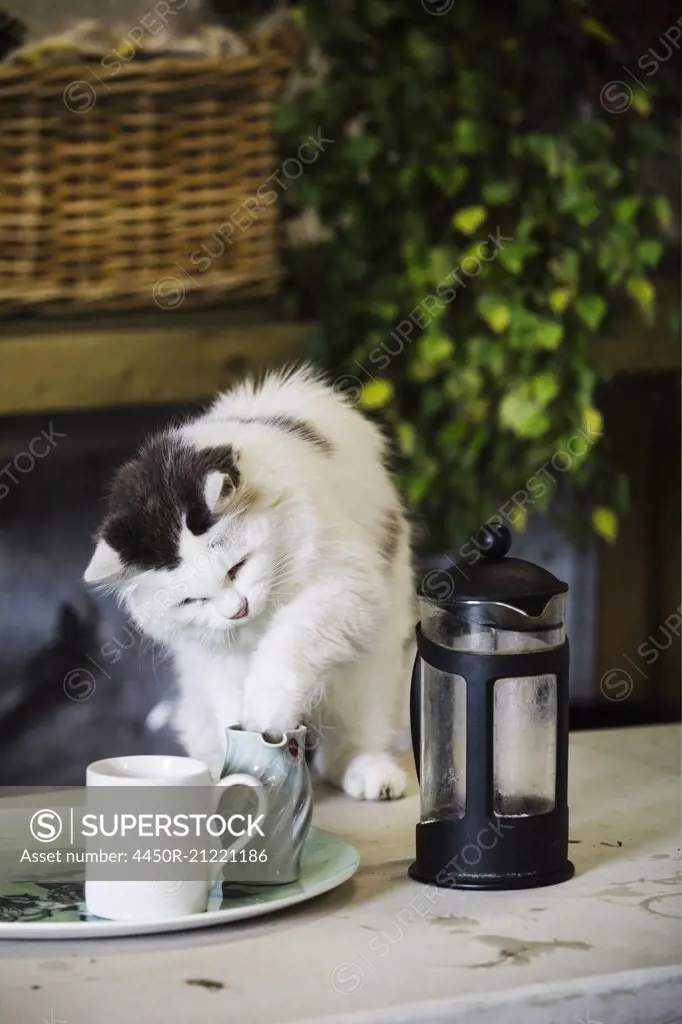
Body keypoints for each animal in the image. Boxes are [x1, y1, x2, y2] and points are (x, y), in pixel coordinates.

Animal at [84, 368, 413, 798]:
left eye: (236, 568)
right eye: (191, 601)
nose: (237, 610)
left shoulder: (343, 588)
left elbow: (284, 653)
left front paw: (265, 719)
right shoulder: (218, 657)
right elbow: (233, 710)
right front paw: (247, 762)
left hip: (370, 669)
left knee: (353, 740)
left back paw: (369, 773)